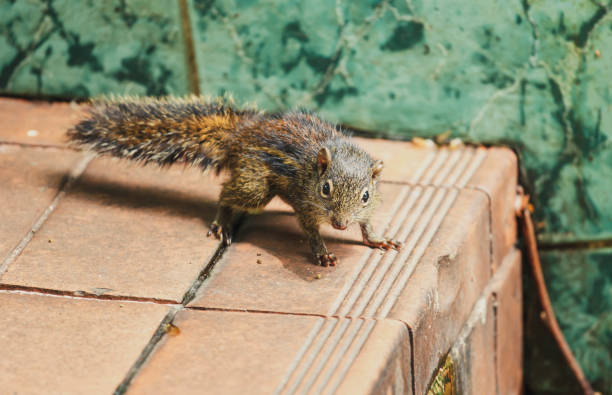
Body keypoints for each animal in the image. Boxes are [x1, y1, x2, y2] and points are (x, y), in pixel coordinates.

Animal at [68, 96, 402, 268]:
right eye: (325, 189)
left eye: (366, 196)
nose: (340, 225)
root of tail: (240, 135)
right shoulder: (306, 206)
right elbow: (310, 231)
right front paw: (322, 252)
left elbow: (367, 225)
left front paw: (378, 239)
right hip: (255, 187)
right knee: (227, 194)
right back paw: (222, 222)